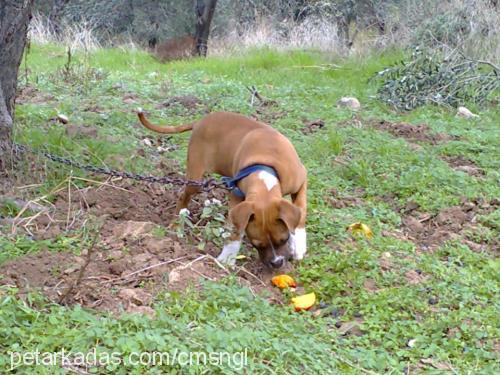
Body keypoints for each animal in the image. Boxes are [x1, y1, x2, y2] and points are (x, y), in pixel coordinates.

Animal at [139, 110, 306, 268]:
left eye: (284, 239)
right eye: (256, 244)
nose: (277, 263)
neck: (264, 171)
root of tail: (199, 122)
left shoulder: (301, 181)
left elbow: (301, 210)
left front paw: (299, 246)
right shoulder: (237, 198)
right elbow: (234, 229)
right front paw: (227, 258)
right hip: (196, 179)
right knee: (183, 196)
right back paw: (176, 224)